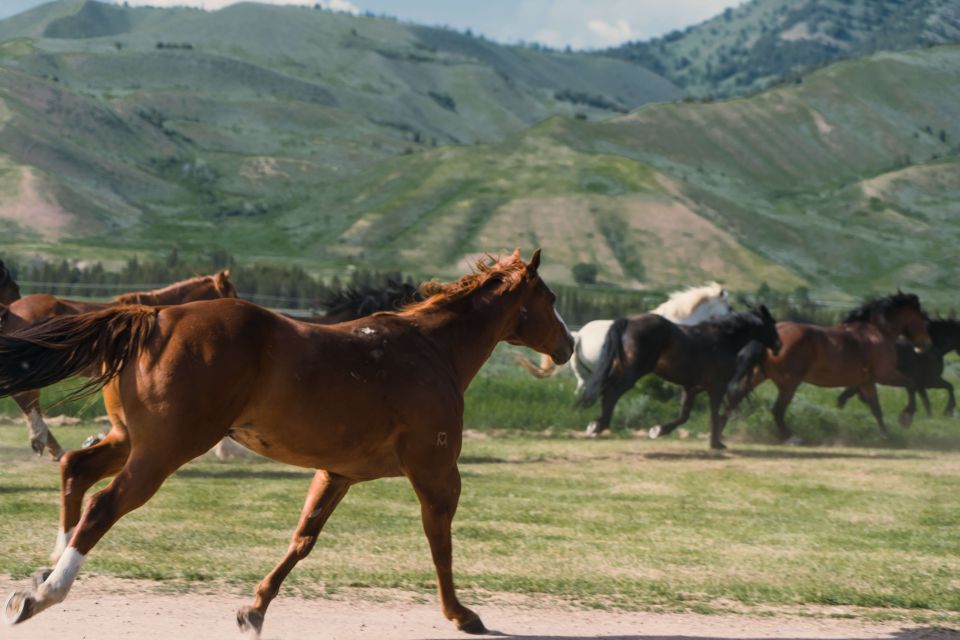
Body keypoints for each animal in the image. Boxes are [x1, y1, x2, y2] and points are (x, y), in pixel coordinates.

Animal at [572, 306, 784, 450]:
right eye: (772, 325)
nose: (779, 345)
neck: (723, 340)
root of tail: (628, 321)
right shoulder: (717, 387)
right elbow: (713, 414)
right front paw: (716, 443)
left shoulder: (691, 387)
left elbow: (684, 415)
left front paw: (658, 430)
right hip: (632, 373)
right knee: (611, 393)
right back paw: (597, 426)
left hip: (619, 370)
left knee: (604, 391)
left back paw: (597, 424)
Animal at [728, 292, 928, 442]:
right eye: (924, 318)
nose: (926, 344)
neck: (877, 333)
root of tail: (773, 335)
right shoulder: (885, 374)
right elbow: (911, 384)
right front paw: (906, 417)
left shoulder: (867, 381)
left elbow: (876, 408)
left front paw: (886, 435)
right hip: (789, 382)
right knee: (777, 410)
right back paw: (791, 438)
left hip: (759, 375)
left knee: (736, 396)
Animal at [832, 320, 960, 424]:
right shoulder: (930, 381)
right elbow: (949, 387)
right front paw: (947, 411)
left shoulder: (920, 384)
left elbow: (926, 401)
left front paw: (930, 417)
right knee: (848, 396)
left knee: (850, 395)